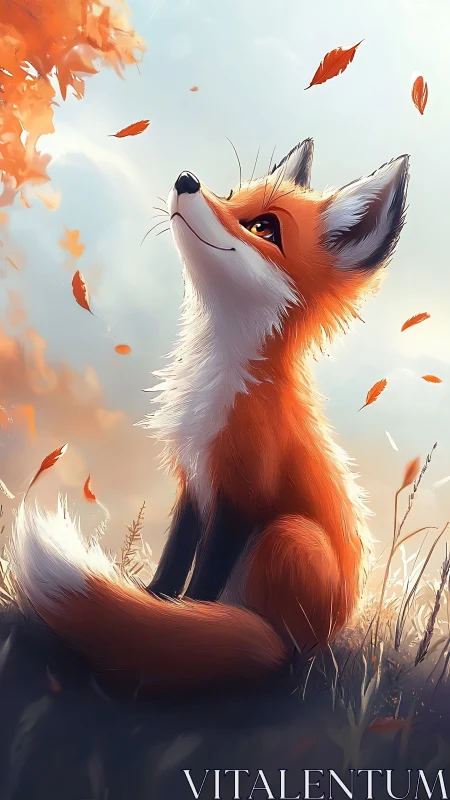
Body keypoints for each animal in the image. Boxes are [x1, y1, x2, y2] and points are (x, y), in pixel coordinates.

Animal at [11, 137, 409, 695]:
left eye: (264, 228)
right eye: (232, 194)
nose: (186, 179)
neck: (213, 387)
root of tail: (328, 633)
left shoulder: (242, 493)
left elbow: (202, 582)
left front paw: (185, 622)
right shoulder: (195, 483)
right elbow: (174, 562)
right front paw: (156, 603)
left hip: (290, 538)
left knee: (279, 651)